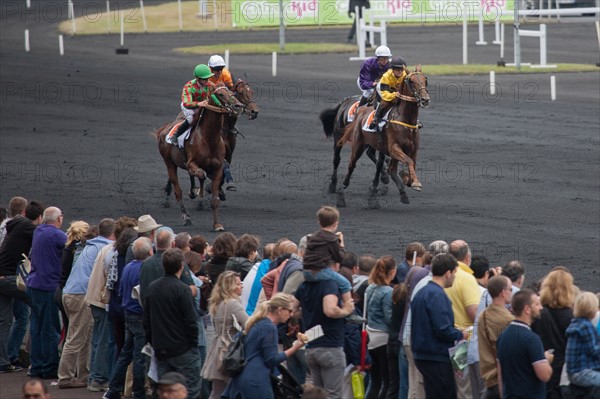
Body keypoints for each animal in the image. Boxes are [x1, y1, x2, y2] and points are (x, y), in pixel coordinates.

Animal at [155, 84, 244, 230]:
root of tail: (164, 129)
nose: (238, 106)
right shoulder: (192, 163)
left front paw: (217, 224)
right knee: (178, 191)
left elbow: (214, 198)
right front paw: (198, 192)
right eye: (220, 94)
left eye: (232, 92)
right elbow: (201, 174)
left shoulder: (218, 167)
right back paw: (186, 216)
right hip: (169, 163)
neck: (209, 139)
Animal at [338, 64, 432, 208]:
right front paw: (415, 183)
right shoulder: (394, 148)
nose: (425, 99)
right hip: (359, 145)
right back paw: (344, 185)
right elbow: (408, 162)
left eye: (425, 80)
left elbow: (411, 164)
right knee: (352, 163)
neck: (405, 120)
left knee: (390, 169)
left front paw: (407, 178)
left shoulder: (413, 149)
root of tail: (361, 111)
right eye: (411, 81)